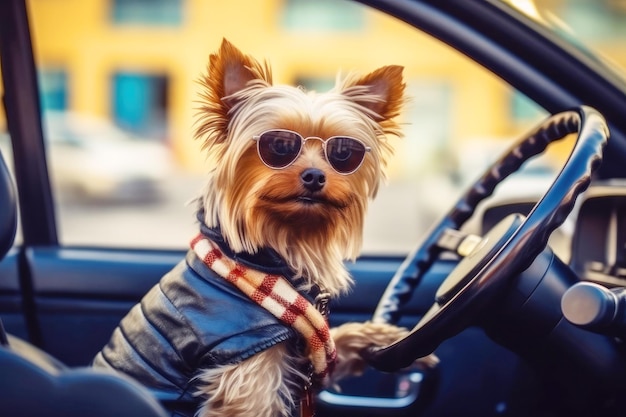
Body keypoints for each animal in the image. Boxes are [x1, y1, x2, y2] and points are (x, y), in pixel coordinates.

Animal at [92, 39, 434, 416]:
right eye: (279, 146)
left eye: (344, 152)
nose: (315, 176)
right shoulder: (247, 376)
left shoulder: (310, 358)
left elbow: (338, 341)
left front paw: (385, 335)